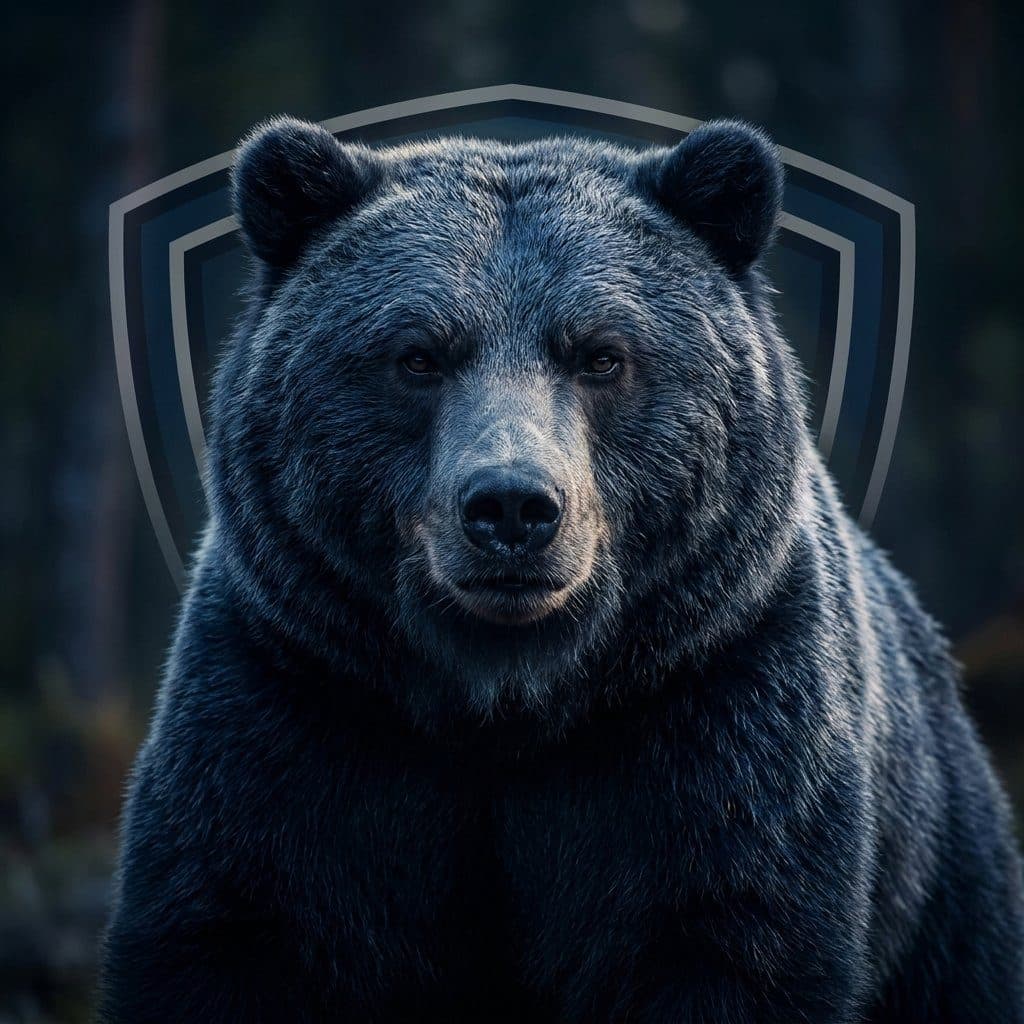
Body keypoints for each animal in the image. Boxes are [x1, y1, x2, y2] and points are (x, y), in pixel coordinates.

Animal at [97, 116, 1024, 1023]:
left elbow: (734, 935)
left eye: (601, 354)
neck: (508, 700)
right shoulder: (292, 711)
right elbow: (234, 923)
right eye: (420, 354)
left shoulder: (723, 722)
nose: (512, 506)